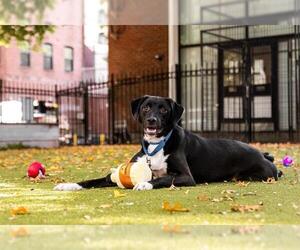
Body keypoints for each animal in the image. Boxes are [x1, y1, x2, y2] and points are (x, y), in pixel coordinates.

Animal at [54, 95, 282, 191]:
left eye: (163, 109)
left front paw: (145, 183)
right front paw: (69, 185)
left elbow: (163, 178)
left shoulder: (186, 177)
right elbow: (92, 180)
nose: (152, 120)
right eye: (146, 107)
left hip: (258, 174)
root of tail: (263, 154)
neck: (157, 144)